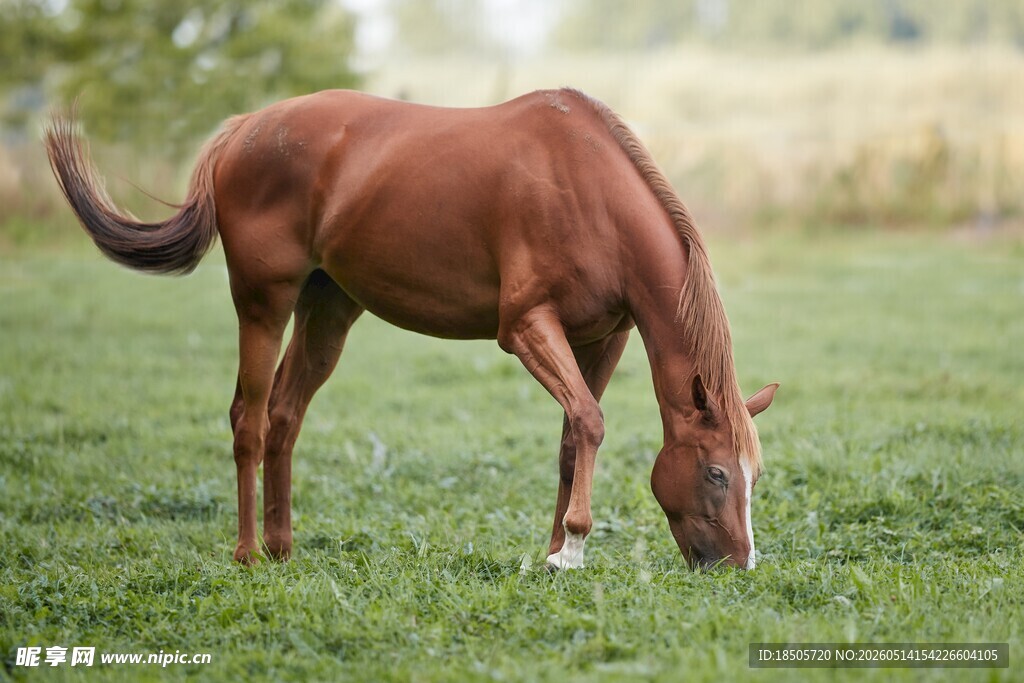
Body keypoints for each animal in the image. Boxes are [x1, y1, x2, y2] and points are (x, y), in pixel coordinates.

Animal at [45, 88, 778, 570]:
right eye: (717, 473)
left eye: (755, 476)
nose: (738, 564)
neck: (587, 189)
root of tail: (243, 128)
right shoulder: (526, 327)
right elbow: (592, 422)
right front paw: (571, 545)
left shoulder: (604, 338)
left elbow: (575, 434)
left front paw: (553, 554)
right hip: (262, 303)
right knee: (248, 422)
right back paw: (249, 552)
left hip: (328, 310)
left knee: (284, 416)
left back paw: (283, 549)